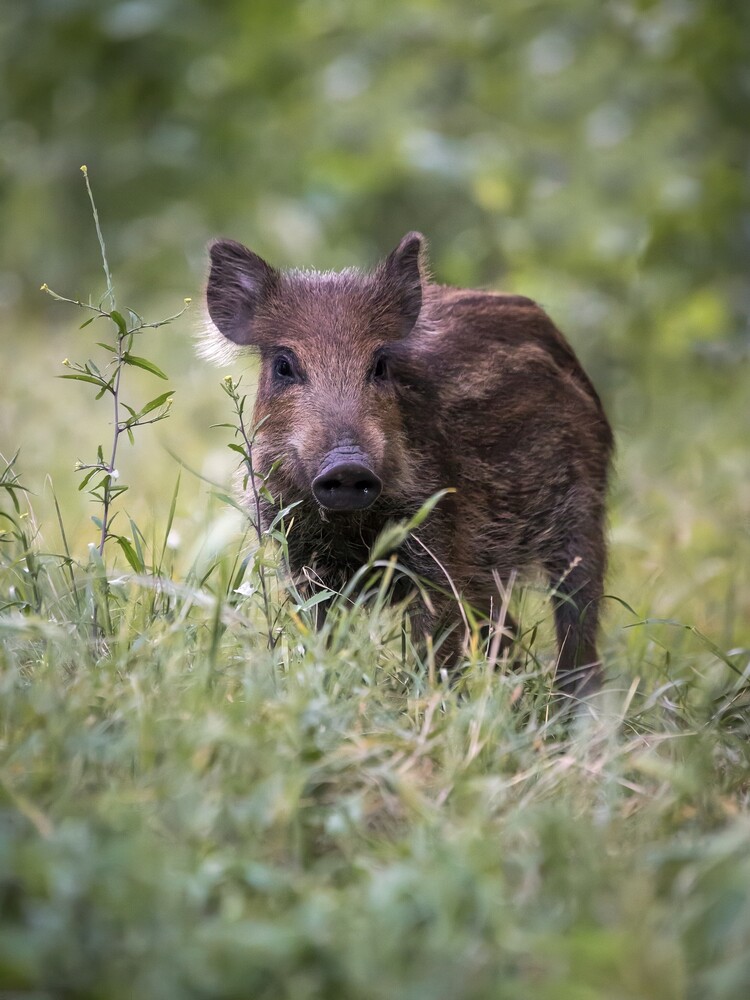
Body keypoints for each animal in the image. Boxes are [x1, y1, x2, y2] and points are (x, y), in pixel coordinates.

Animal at [205, 232, 613, 696]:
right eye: (284, 365)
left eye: (380, 365)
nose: (348, 467)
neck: (351, 527)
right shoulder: (299, 556)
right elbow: (322, 636)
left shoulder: (439, 544)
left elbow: (437, 645)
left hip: (583, 513)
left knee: (577, 623)